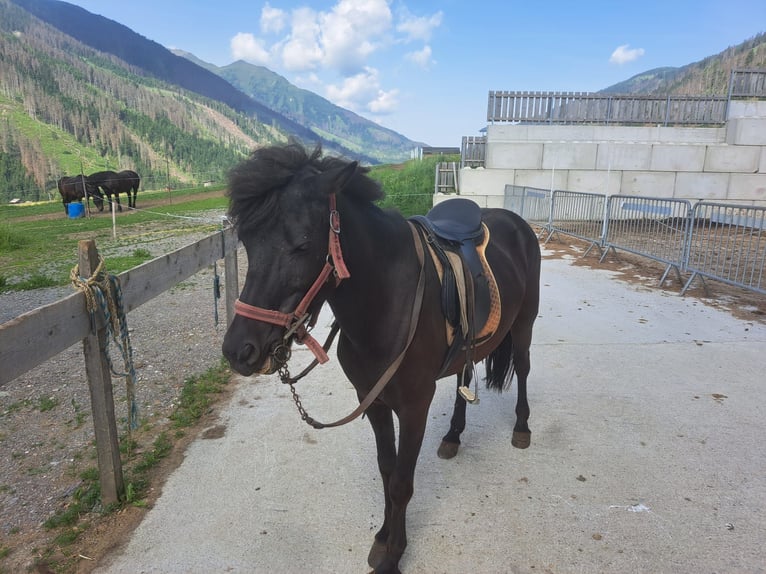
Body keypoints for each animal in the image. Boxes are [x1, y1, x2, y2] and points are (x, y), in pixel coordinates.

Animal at [222, 144, 544, 574]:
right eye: (247, 242)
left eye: (302, 245)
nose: (239, 350)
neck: (387, 302)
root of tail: (516, 223)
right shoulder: (371, 400)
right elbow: (387, 471)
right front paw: (383, 537)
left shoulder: (414, 407)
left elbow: (402, 483)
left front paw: (394, 555)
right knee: (464, 379)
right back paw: (453, 436)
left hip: (524, 325)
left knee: (522, 369)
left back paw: (521, 428)